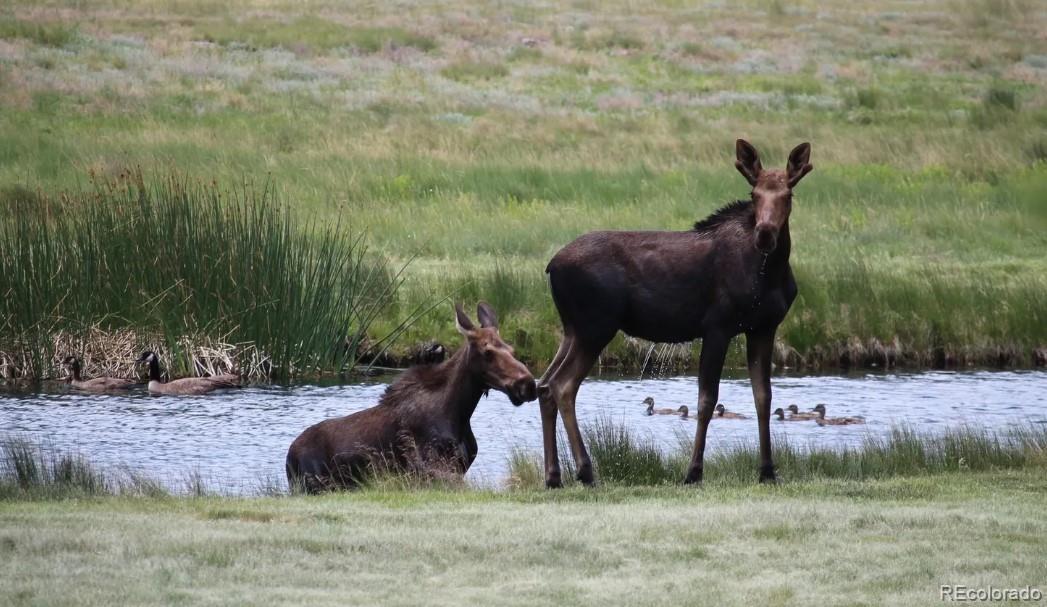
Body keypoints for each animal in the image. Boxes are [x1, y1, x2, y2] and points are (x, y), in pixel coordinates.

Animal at [284, 303, 536, 493]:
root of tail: (289, 457)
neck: (459, 412)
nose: (527, 384)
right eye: (487, 351)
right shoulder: (430, 469)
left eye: (512, 350)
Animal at [536, 140, 812, 485]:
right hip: (595, 326)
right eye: (754, 194)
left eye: (788, 194)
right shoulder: (718, 326)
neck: (770, 274)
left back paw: (553, 476)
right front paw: (693, 471)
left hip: (572, 328)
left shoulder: (763, 327)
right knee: (563, 386)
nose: (764, 233)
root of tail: (551, 266)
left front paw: (767, 471)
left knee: (544, 385)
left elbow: (763, 397)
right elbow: (706, 400)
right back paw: (585, 471)